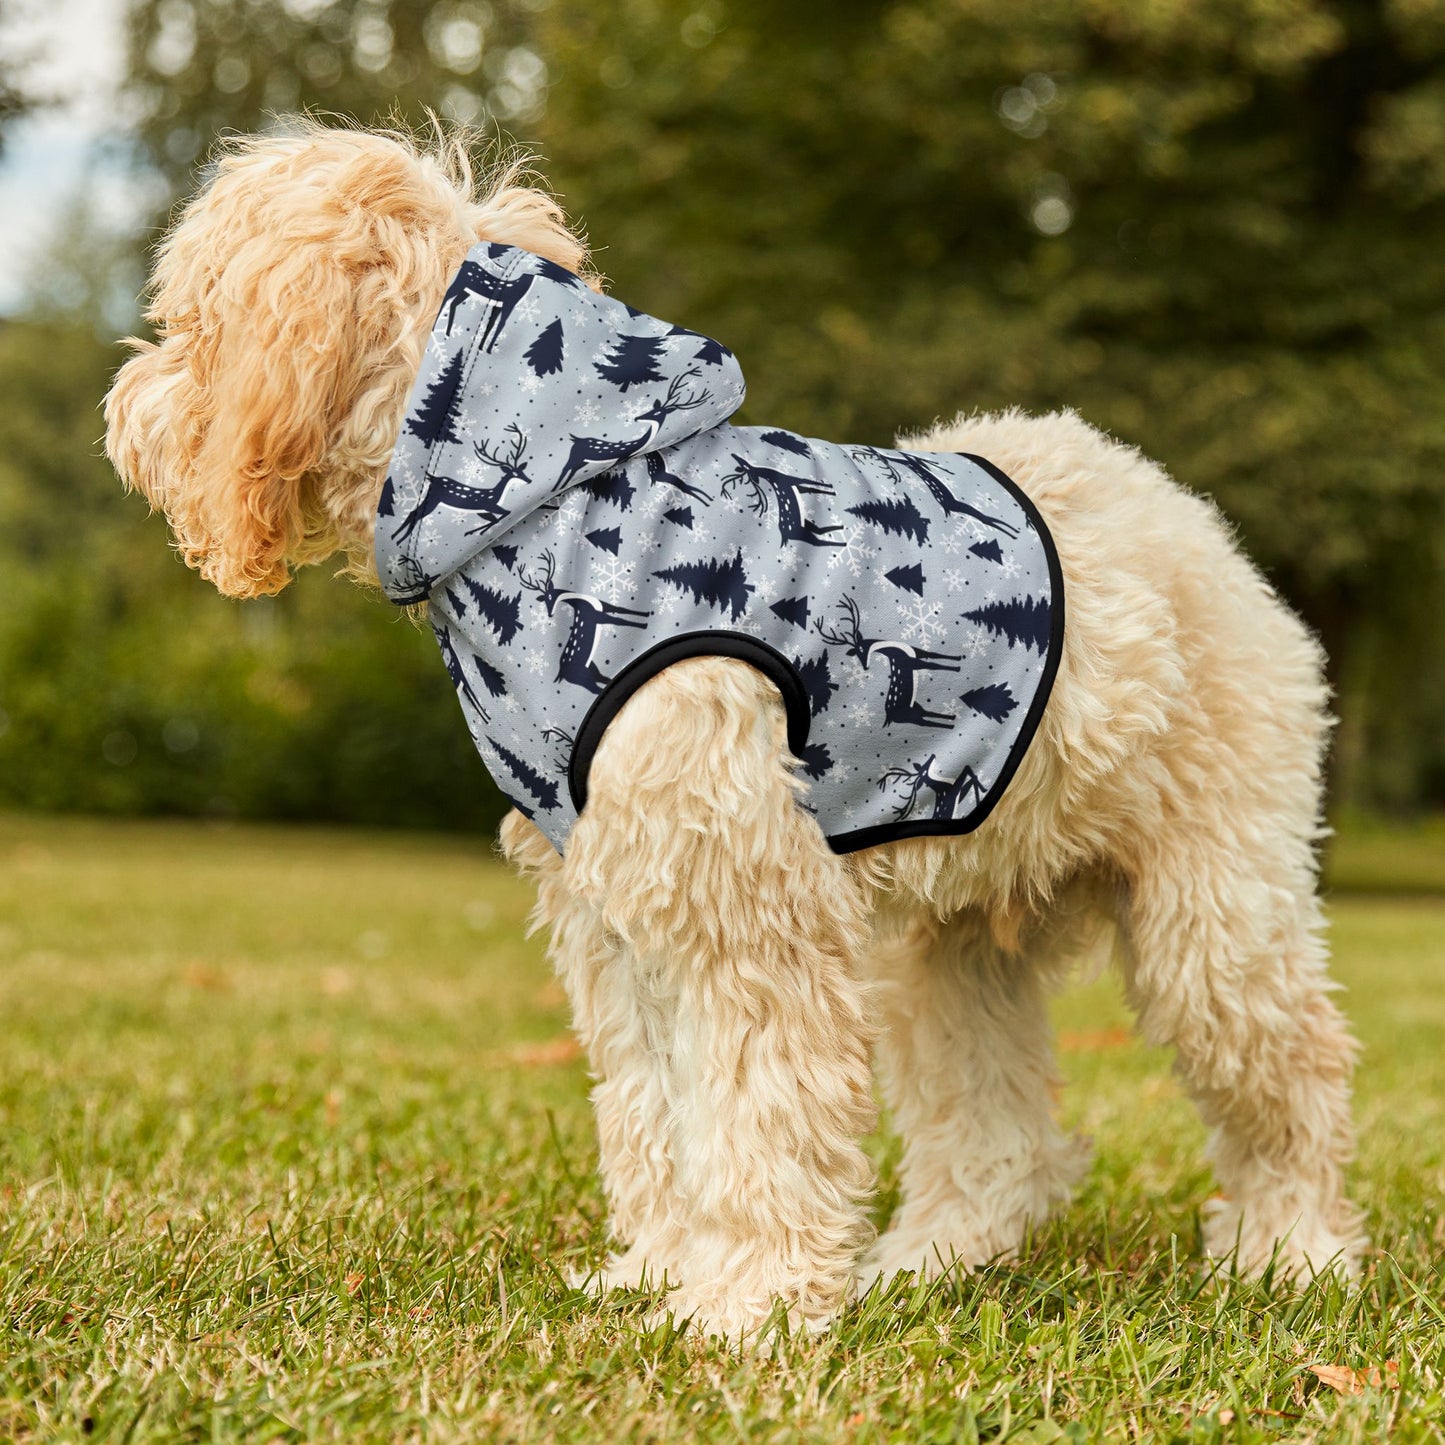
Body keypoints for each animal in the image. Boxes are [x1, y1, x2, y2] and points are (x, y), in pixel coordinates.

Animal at [518, 549, 652, 695]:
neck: (582, 601)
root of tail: (560, 675)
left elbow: (620, 609)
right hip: (583, 679)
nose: (549, 614)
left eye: (550, 596)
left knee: (604, 680)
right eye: (546, 600)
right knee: (597, 690)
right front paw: (643, 625)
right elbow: (619, 620)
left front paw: (646, 614)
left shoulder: (603, 606)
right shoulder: (596, 616)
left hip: (592, 670)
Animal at [557, 368, 715, 488]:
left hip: (581, 461)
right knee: (565, 469)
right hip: (576, 457)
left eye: (656, 412)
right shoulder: (619, 458)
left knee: (569, 472)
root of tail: (575, 438)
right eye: (653, 409)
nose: (637, 418)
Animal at [816, 595, 962, 729]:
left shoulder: (916, 652)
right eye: (856, 653)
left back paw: (953, 716)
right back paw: (951, 724)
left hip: (916, 708)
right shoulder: (909, 662)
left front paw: (958, 658)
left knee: (928, 713)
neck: (895, 649)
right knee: (926, 723)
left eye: (861, 649)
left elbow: (933, 655)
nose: (866, 667)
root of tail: (888, 717)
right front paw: (957, 668)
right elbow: (933, 665)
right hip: (908, 716)